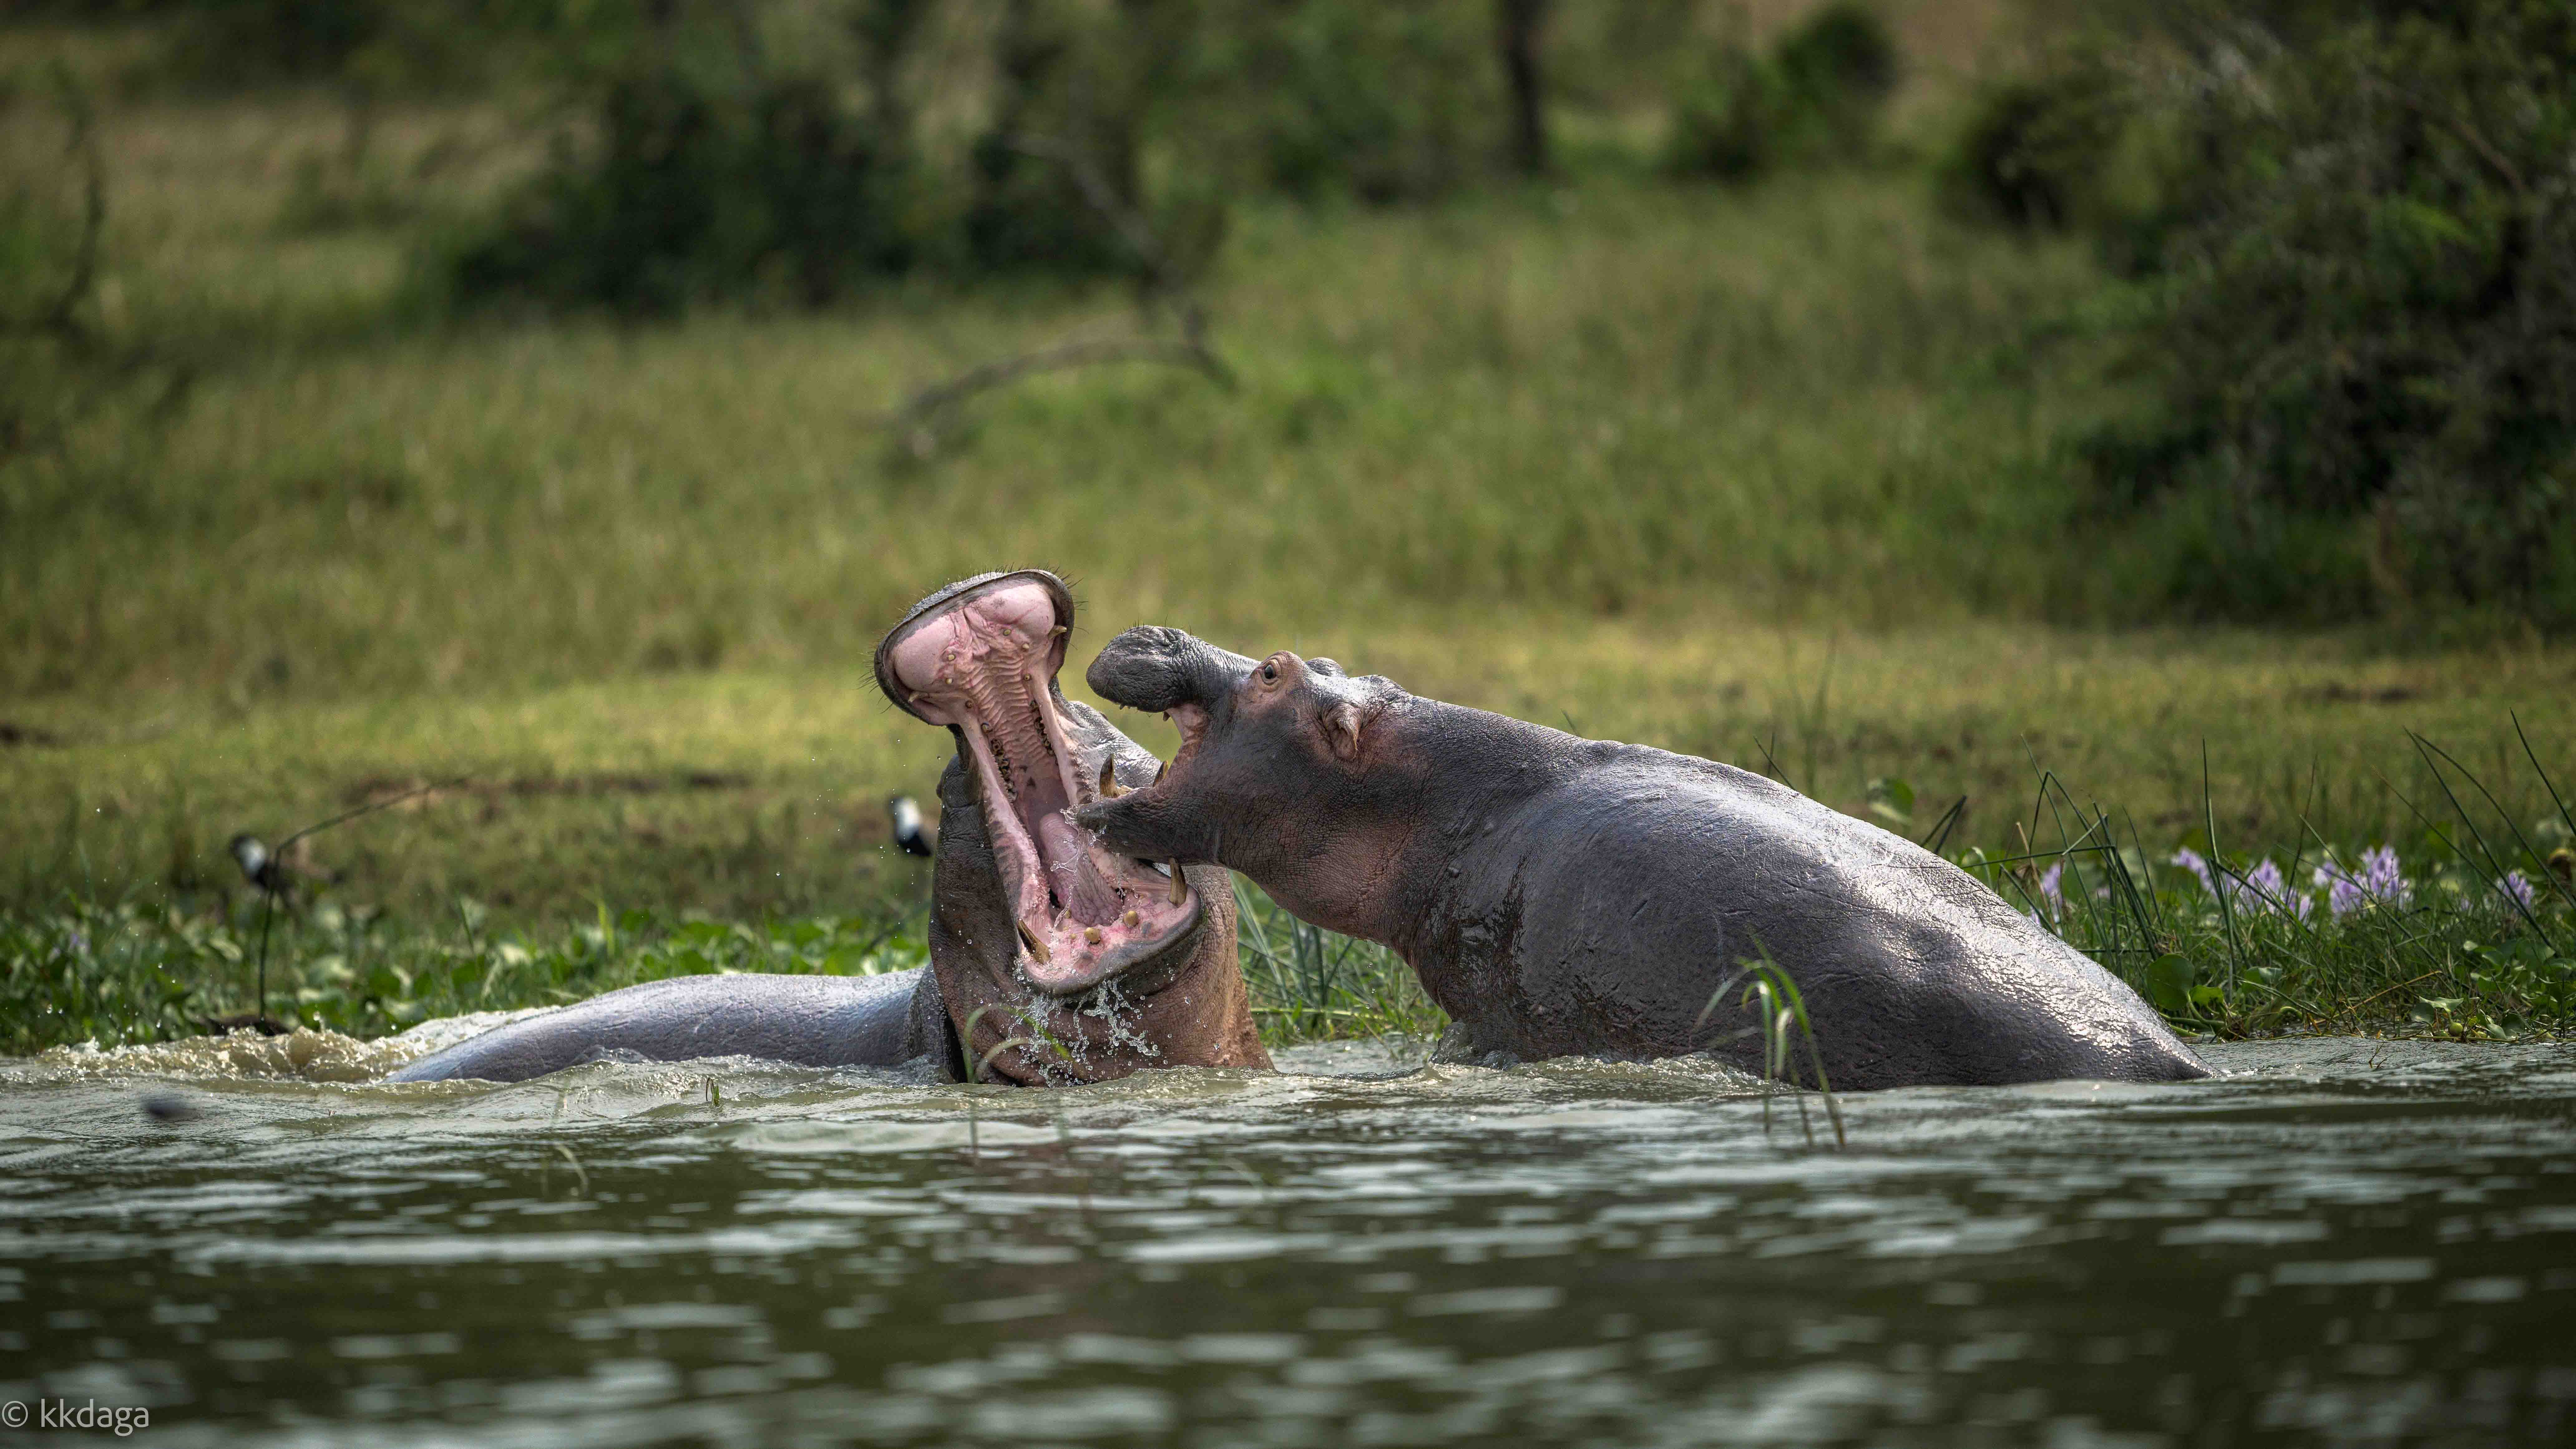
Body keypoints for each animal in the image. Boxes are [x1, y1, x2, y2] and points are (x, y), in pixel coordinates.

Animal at [1066, 621, 2215, 1083]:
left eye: (1270, 672)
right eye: (1316, 658)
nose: (1157, 633)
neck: (1436, 795)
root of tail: (2170, 1056)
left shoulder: (1494, 1018)